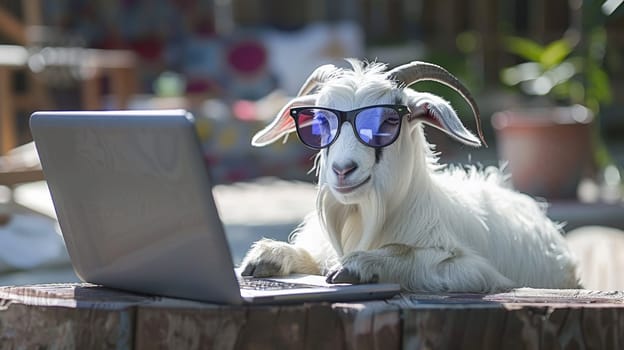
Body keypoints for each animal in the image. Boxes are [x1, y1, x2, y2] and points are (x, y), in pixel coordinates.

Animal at [239, 60, 580, 292]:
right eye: (321, 121)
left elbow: (409, 254)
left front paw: (360, 265)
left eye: (390, 120)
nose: (342, 170)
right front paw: (266, 256)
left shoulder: (475, 271)